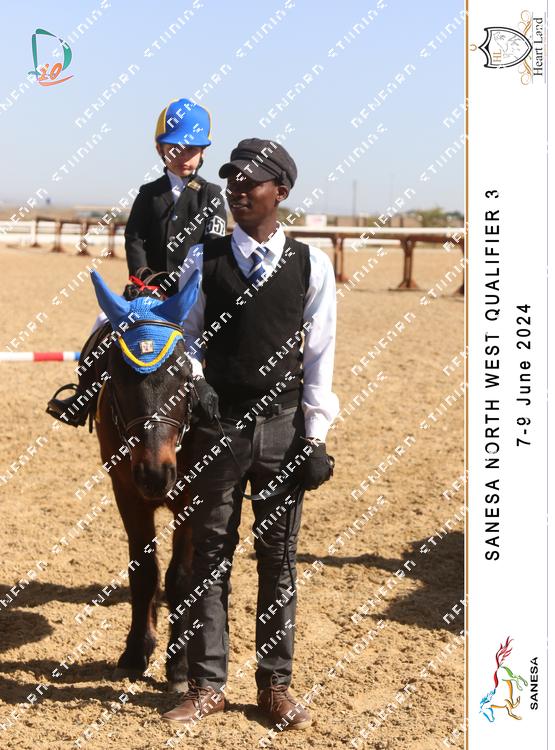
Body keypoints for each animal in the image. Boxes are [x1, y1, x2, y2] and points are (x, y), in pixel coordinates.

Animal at [89, 269, 200, 692]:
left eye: (184, 375)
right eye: (117, 378)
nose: (154, 474)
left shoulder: (195, 496)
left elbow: (181, 578)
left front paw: (180, 666)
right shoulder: (128, 494)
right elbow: (144, 571)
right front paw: (138, 650)